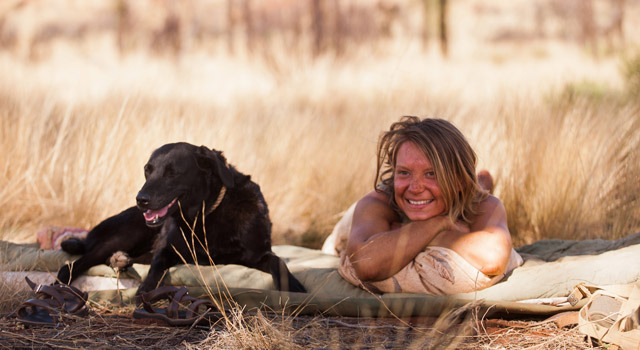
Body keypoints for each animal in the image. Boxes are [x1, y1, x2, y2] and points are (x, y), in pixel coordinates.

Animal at [55, 144, 304, 294]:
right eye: (147, 170)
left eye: (172, 172)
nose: (141, 199)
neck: (205, 214)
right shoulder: (167, 249)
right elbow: (157, 267)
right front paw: (144, 291)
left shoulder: (258, 254)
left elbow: (279, 263)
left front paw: (294, 286)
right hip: (127, 234)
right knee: (72, 265)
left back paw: (120, 260)